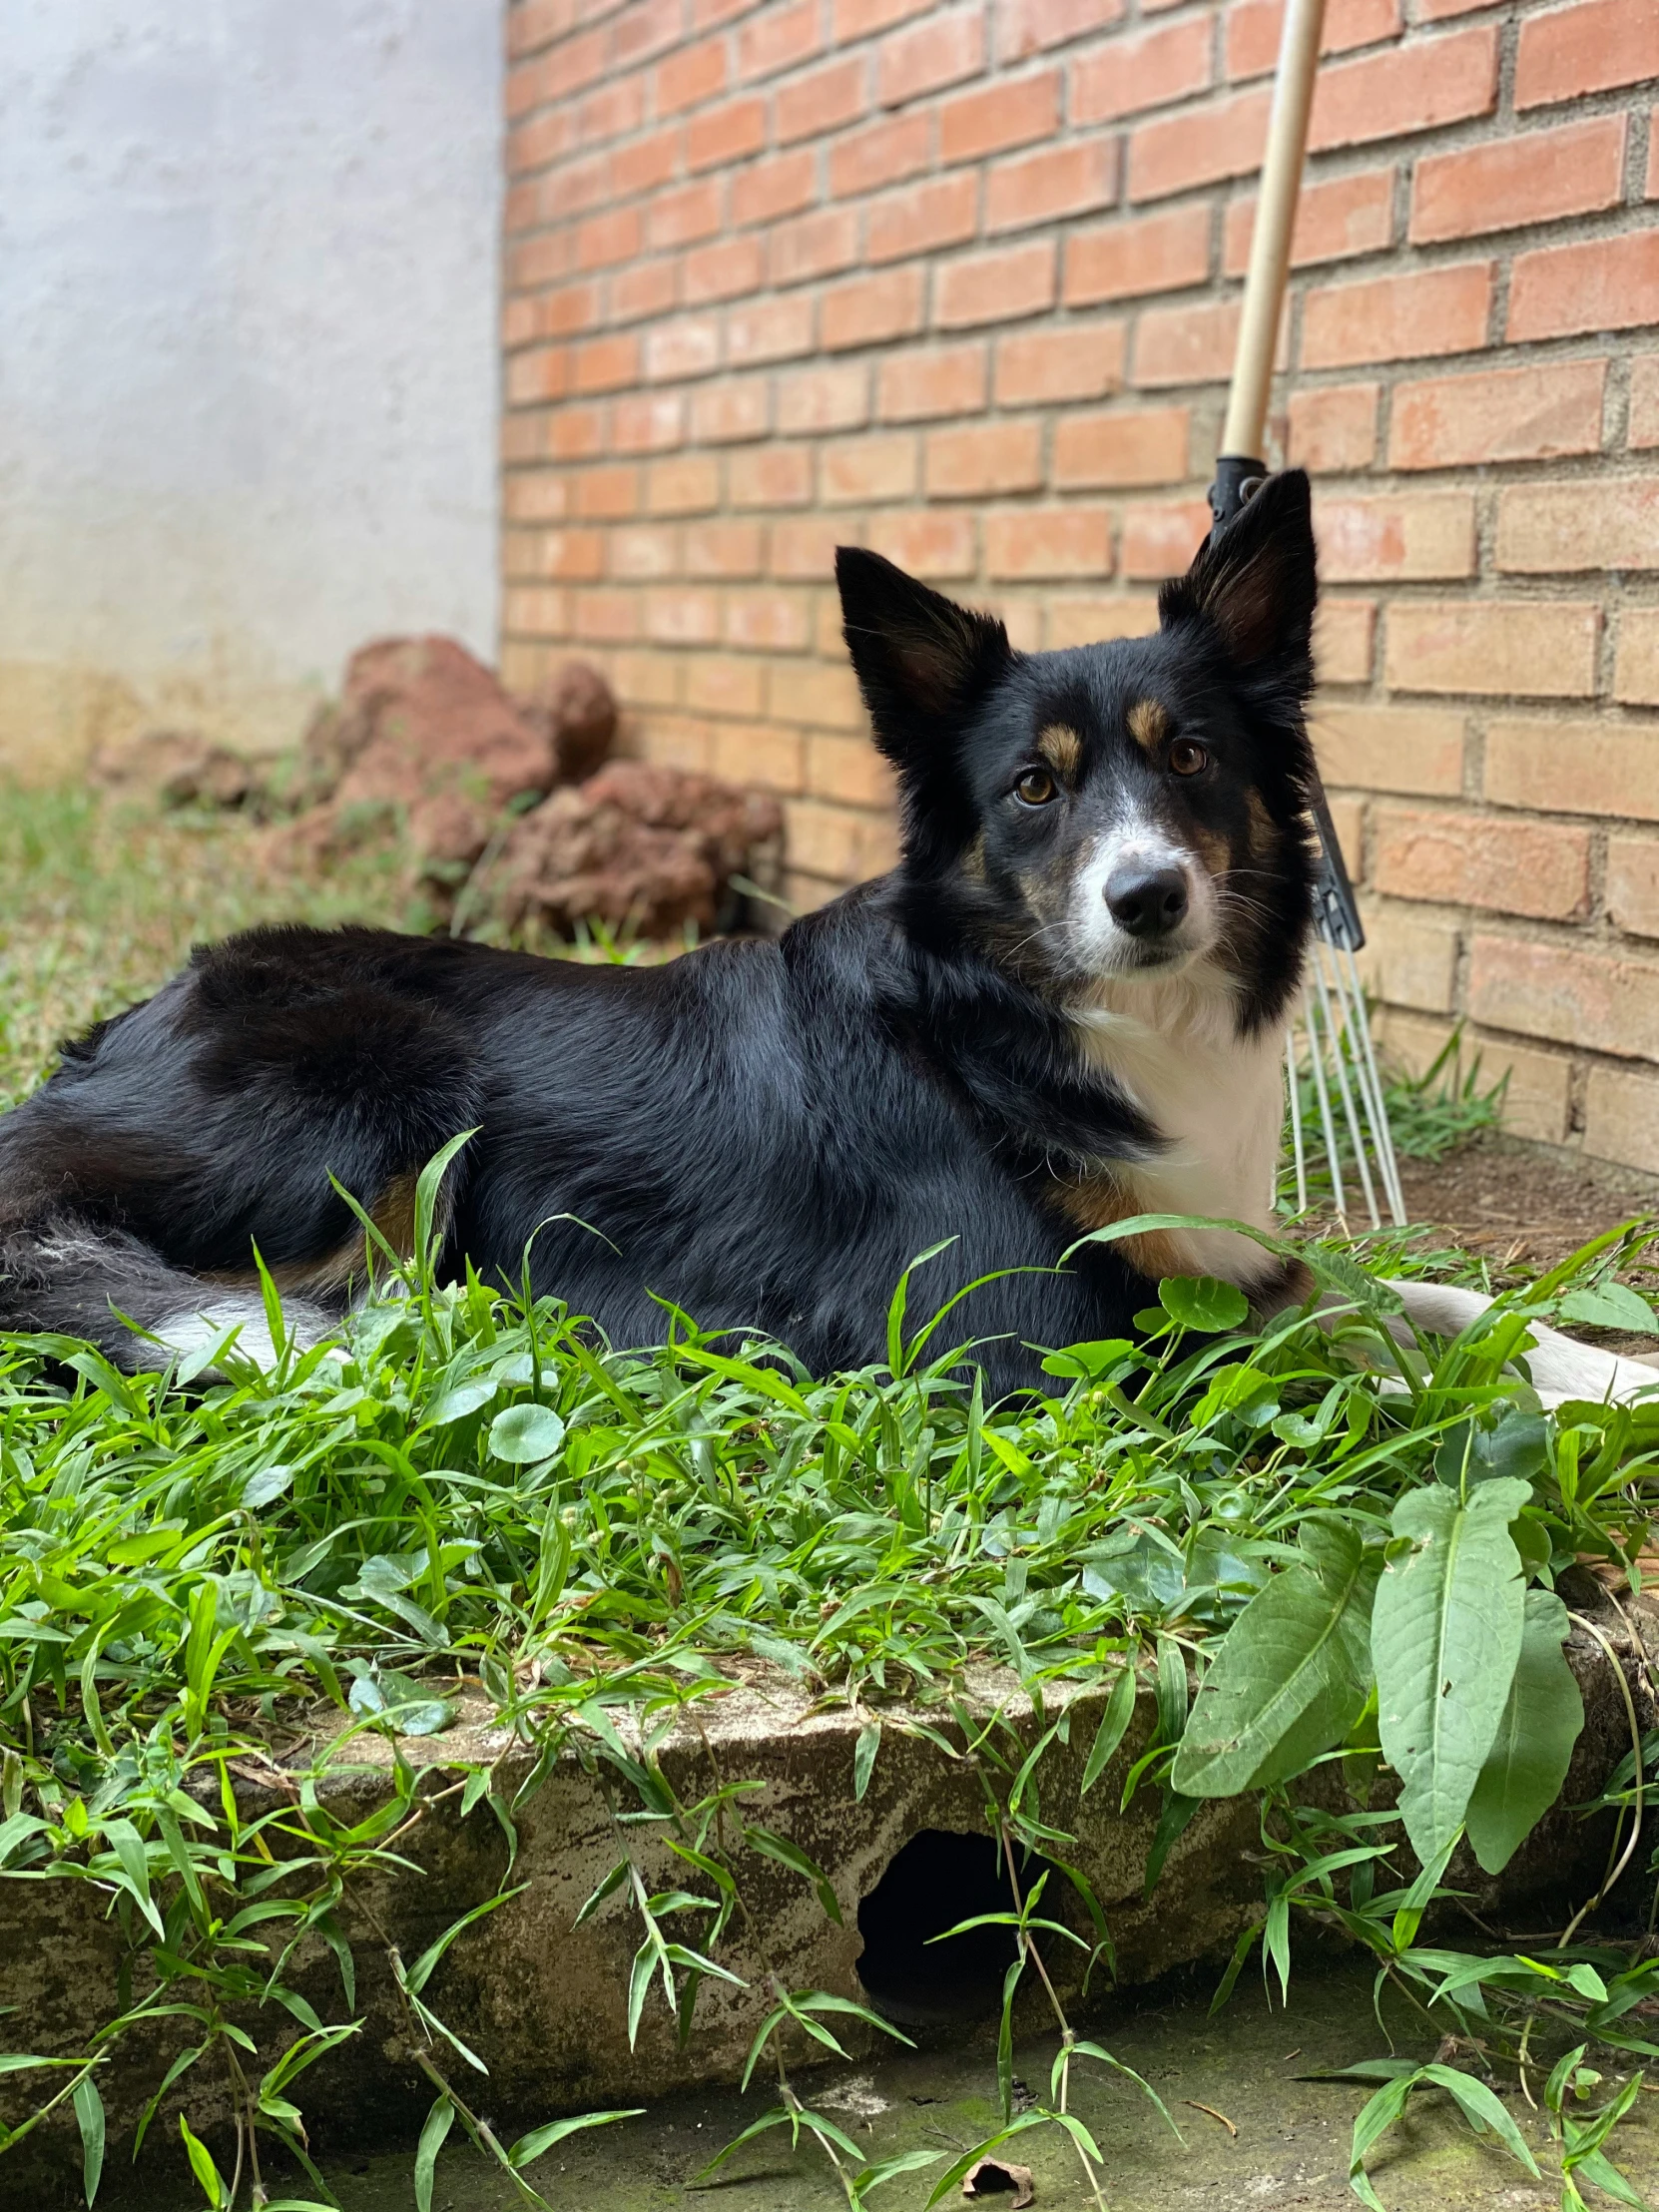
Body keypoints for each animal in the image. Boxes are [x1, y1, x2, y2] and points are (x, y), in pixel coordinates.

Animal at [0, 471, 1654, 1397]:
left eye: (1188, 757)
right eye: (1033, 786)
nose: (1147, 900)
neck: (1013, 1009)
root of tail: (128, 1022)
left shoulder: (1212, 1242)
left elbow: (1415, 1296)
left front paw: (1601, 1368)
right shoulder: (1026, 1332)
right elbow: (1351, 1351)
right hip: (380, 1081)